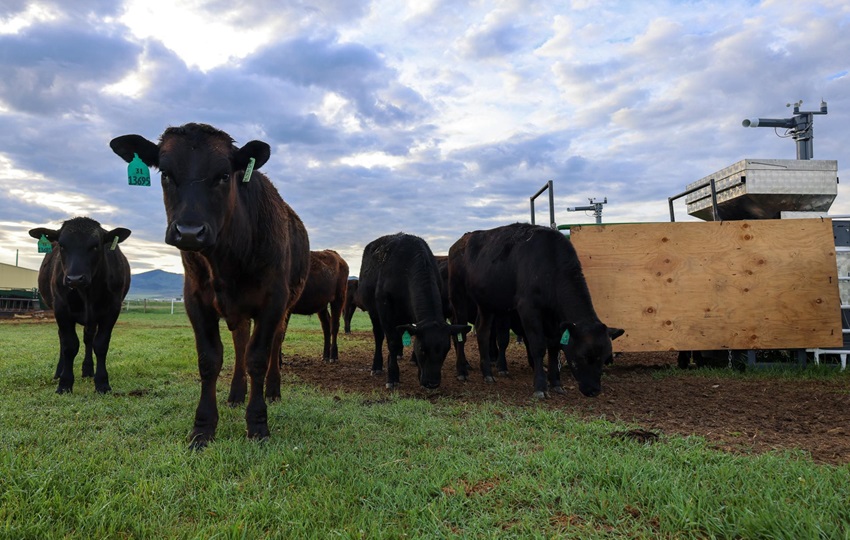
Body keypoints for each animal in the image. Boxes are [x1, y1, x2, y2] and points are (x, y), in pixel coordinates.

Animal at [27, 217, 129, 394]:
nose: (74, 278)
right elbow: (69, 345)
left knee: (88, 338)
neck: (86, 292)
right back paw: (59, 372)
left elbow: (100, 344)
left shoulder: (112, 309)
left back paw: (88, 369)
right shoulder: (61, 309)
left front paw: (102, 383)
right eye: (62, 245)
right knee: (62, 338)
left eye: (95, 245)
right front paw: (65, 383)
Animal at [109, 123, 308, 448]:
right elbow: (210, 360)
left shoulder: (273, 301)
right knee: (240, 342)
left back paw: (273, 391)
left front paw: (258, 424)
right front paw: (202, 428)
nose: (189, 231)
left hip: (286, 306)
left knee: (273, 343)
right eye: (165, 174)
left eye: (224, 175)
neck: (227, 260)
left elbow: (258, 358)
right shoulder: (195, 301)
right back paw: (236, 393)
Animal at [354, 232, 468, 388]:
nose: (432, 383)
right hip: (374, 312)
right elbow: (392, 342)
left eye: (446, 350)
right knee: (379, 336)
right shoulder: (385, 309)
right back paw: (377, 366)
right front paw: (392, 377)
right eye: (422, 349)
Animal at [448, 223, 620, 396]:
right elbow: (537, 345)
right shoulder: (528, 308)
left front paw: (556, 382)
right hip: (458, 295)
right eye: (583, 356)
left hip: (487, 303)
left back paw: (487, 374)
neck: (550, 263)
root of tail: (460, 242)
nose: (593, 390)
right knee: (461, 332)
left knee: (482, 331)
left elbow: (554, 346)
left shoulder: (554, 317)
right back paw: (462, 371)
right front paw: (540, 386)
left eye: (605, 358)